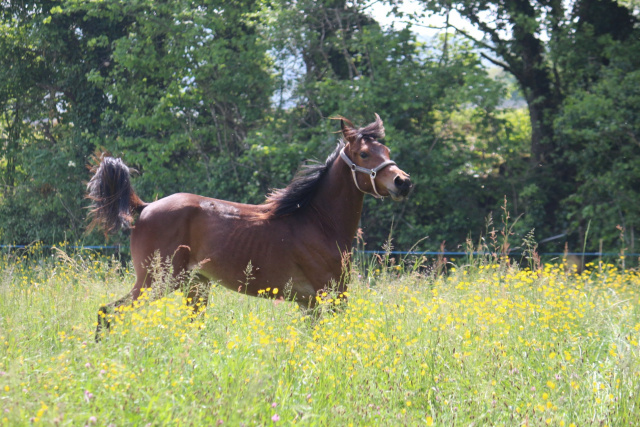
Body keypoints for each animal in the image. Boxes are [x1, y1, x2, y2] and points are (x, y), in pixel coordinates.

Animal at [89, 114, 410, 342]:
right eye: (364, 154)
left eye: (386, 149)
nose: (403, 182)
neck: (318, 223)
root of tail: (145, 207)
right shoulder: (329, 295)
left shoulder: (309, 303)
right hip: (156, 281)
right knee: (108, 312)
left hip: (194, 285)